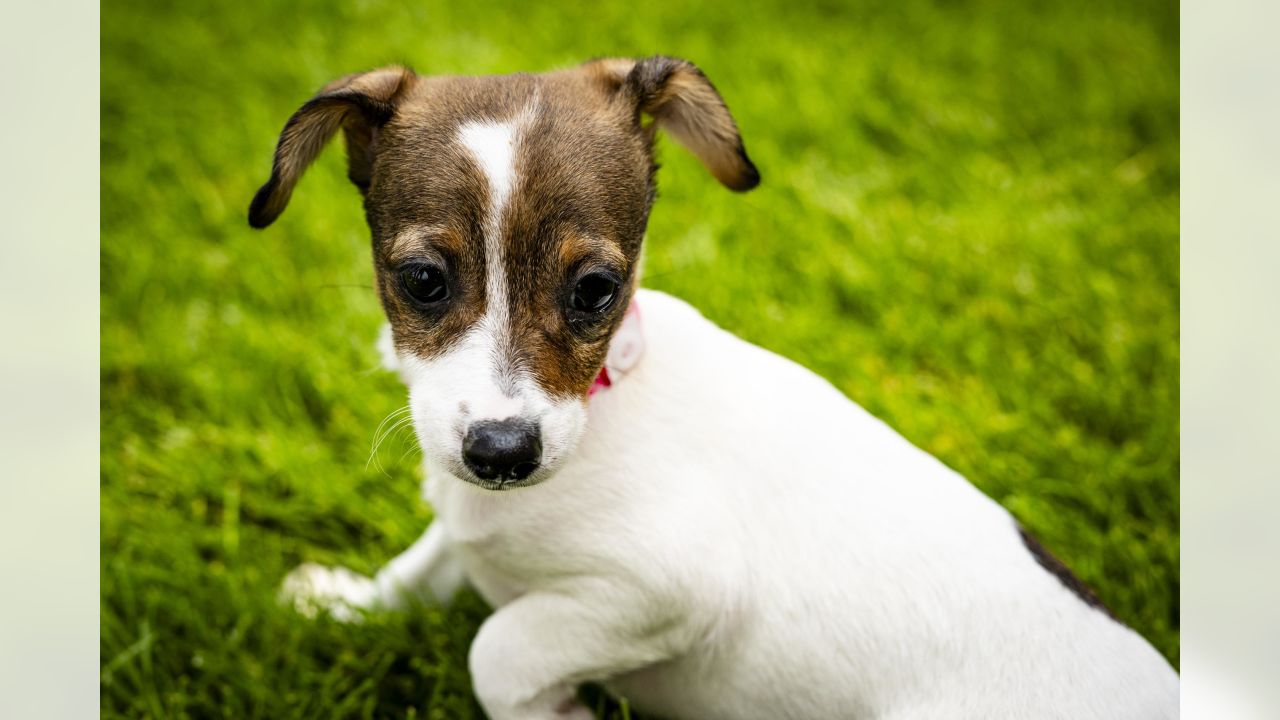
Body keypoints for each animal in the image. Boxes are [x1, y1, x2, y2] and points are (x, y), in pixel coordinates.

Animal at [254, 57, 1182, 717]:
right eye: (421, 280)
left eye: (596, 289)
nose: (503, 454)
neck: (603, 398)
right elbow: (422, 563)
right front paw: (347, 602)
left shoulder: (668, 588)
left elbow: (500, 647)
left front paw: (552, 709)